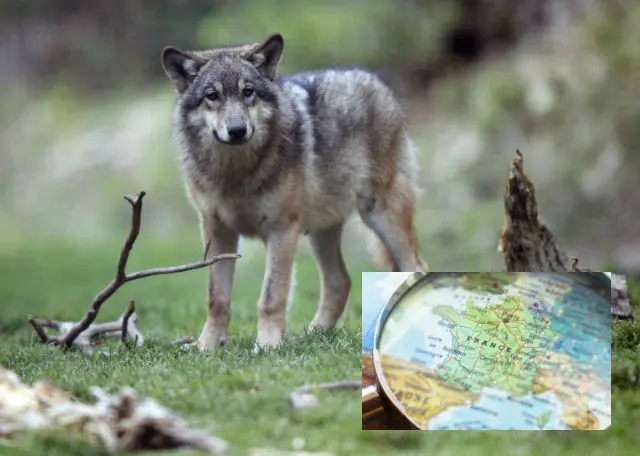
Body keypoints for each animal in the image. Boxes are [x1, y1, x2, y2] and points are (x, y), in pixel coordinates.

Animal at [161, 33, 428, 351]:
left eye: (248, 92)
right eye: (212, 96)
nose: (237, 130)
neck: (236, 174)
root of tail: (376, 78)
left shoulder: (281, 231)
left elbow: (270, 297)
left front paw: (267, 346)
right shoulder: (217, 232)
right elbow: (217, 299)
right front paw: (207, 347)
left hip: (381, 217)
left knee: (416, 267)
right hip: (321, 233)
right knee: (341, 281)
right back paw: (314, 334)